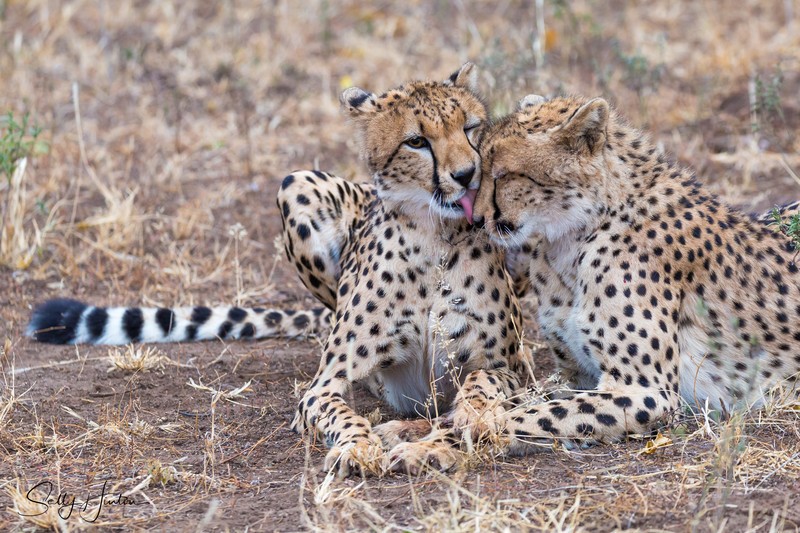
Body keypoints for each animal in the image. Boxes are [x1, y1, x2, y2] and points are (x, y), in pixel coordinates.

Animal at [279, 63, 531, 476]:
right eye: (416, 142)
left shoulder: (510, 370)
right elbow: (339, 413)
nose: (467, 174)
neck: (433, 234)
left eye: (470, 127)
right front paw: (357, 447)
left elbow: (481, 382)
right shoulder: (323, 385)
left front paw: (466, 419)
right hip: (296, 182)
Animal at [471, 93, 800, 454]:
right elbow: (531, 402)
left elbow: (531, 416)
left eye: (503, 175)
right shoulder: (574, 376)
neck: (577, 233)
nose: (475, 220)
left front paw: (462, 433)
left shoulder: (647, 392)